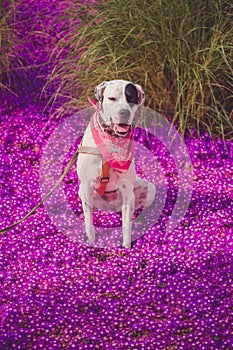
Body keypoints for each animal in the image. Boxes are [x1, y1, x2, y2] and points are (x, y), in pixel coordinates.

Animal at [77, 79, 156, 249]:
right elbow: (89, 222)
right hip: (82, 190)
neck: (111, 140)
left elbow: (126, 226)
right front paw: (91, 242)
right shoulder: (86, 184)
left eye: (131, 98)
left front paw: (127, 249)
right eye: (112, 98)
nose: (124, 112)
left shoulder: (126, 189)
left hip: (147, 190)